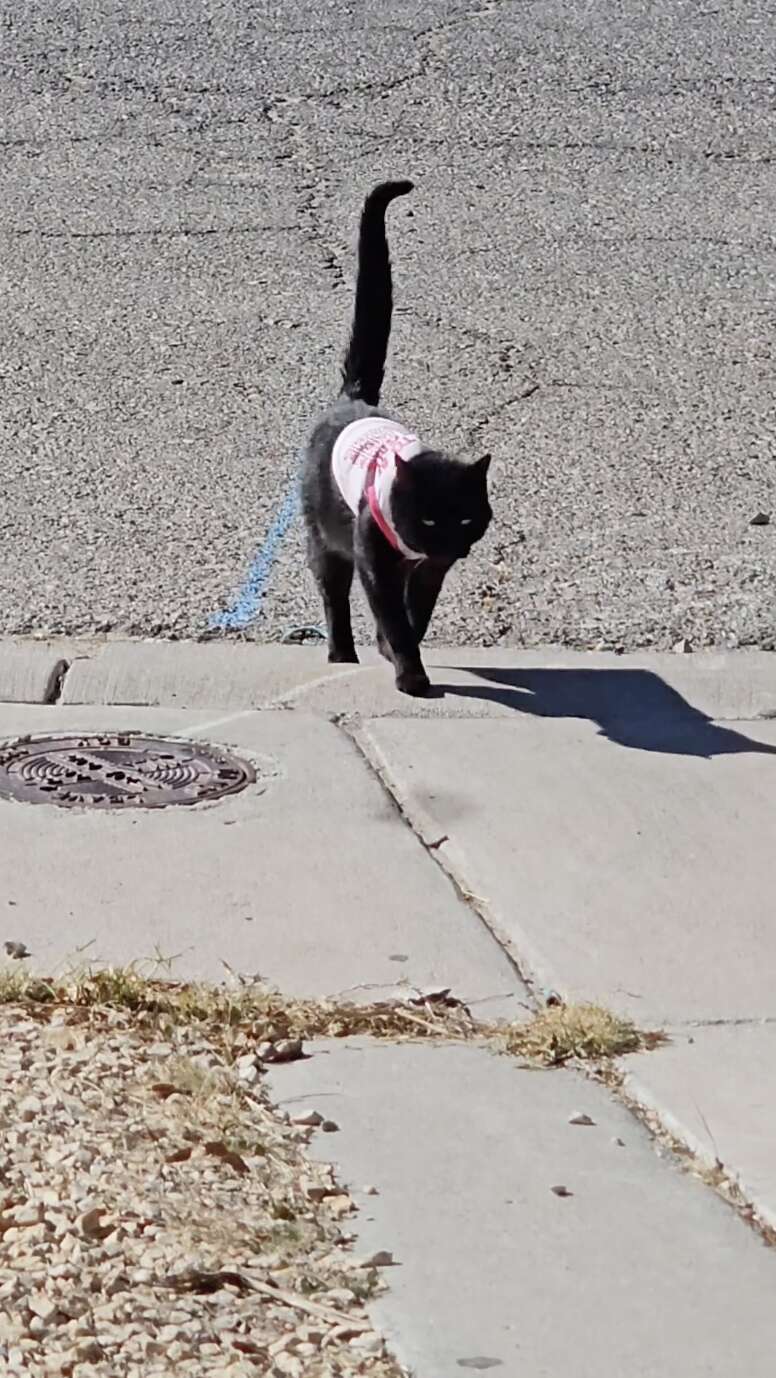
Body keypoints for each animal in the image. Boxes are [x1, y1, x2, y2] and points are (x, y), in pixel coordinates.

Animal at [301, 180, 490, 700]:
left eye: (466, 518)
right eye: (427, 518)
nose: (447, 542)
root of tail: (355, 397)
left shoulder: (429, 573)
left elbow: (414, 616)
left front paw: (395, 650)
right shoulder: (376, 562)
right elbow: (393, 616)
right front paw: (411, 676)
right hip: (325, 537)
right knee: (333, 595)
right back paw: (341, 654)